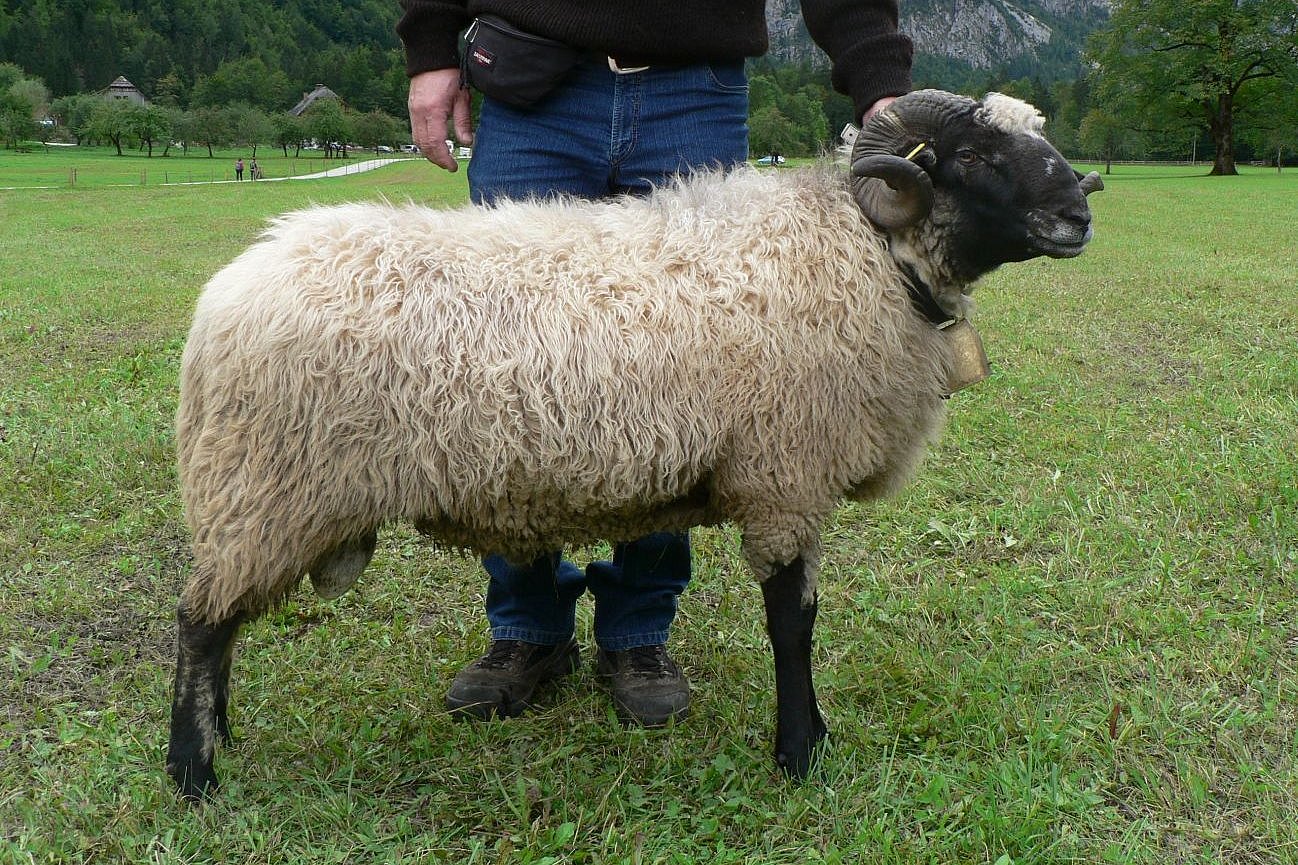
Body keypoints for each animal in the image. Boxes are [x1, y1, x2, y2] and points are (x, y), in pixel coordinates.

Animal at [164, 90, 1105, 800]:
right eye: (977, 156)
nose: (1079, 213)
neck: (867, 253)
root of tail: (227, 293)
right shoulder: (786, 478)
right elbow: (792, 622)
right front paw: (800, 754)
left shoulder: (785, 479)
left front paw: (812, 738)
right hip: (267, 487)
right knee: (201, 623)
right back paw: (194, 772)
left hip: (263, 493)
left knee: (221, 624)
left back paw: (223, 736)